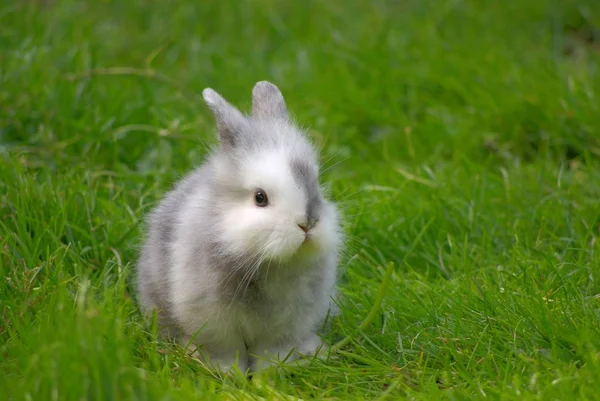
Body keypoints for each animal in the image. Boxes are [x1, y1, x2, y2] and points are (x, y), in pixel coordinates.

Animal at [135, 80, 342, 372]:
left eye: (316, 184)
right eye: (260, 198)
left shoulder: (284, 326)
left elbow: (270, 351)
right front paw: (231, 374)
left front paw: (269, 373)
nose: (308, 224)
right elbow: (226, 351)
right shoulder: (213, 322)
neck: (266, 262)